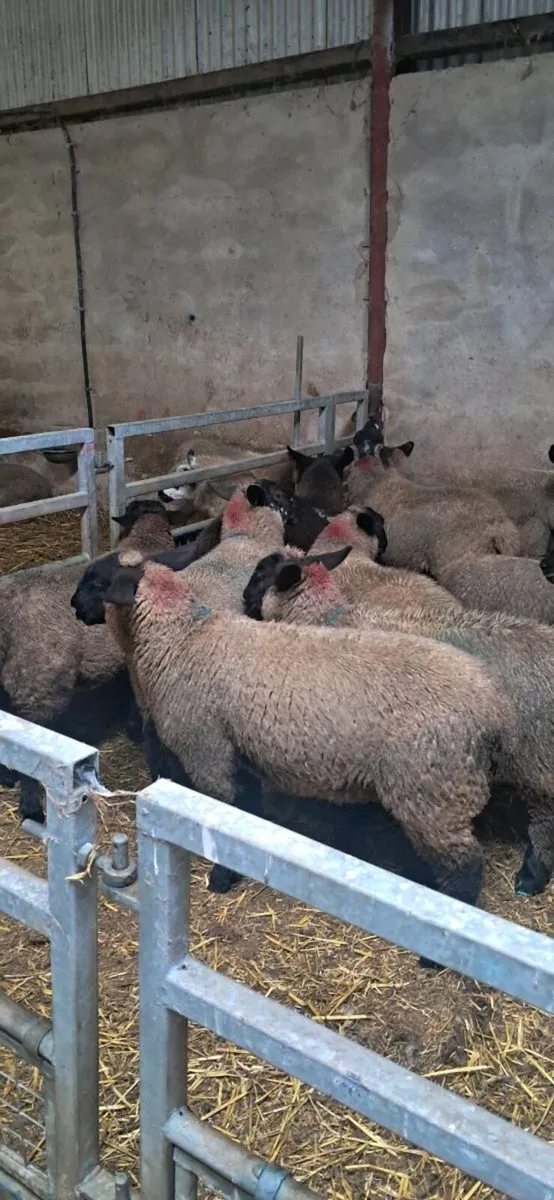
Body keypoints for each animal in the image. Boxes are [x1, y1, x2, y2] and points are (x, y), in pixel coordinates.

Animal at [92, 557, 514, 932]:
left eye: (100, 581)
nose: (79, 610)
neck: (182, 637)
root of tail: (494, 707)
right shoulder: (238, 748)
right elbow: (246, 809)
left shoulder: (206, 748)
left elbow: (224, 811)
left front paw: (222, 878)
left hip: (433, 786)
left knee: (466, 865)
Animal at [244, 549, 554, 900]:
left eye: (260, 575)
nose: (244, 600)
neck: (326, 620)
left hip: (536, 760)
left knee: (544, 823)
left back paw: (530, 876)